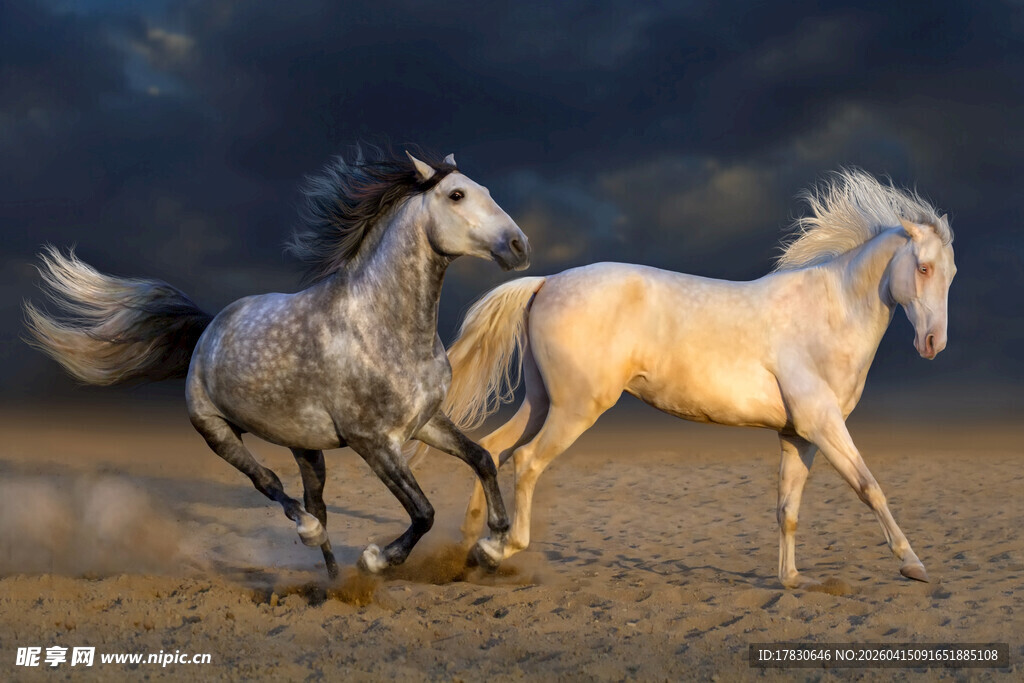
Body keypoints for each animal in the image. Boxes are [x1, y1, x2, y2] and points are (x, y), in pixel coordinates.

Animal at [25, 148, 531, 579]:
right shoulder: (372, 442)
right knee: (270, 484)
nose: (519, 245)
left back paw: (334, 582)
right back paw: (310, 535)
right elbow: (423, 512)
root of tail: (208, 330)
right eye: (456, 195)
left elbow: (483, 459)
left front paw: (493, 546)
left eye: (485, 189)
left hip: (305, 447)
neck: (382, 326)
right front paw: (376, 559)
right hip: (215, 431)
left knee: (316, 502)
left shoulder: (424, 422)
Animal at [413, 169, 956, 588]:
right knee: (526, 461)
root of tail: (546, 282)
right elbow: (870, 488)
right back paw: (499, 548)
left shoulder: (798, 435)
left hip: (542, 401)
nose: (933, 344)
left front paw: (790, 579)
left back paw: (473, 545)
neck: (826, 315)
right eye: (923, 268)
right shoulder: (824, 425)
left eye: (950, 273)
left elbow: (788, 508)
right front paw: (913, 565)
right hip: (576, 409)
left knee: (493, 449)